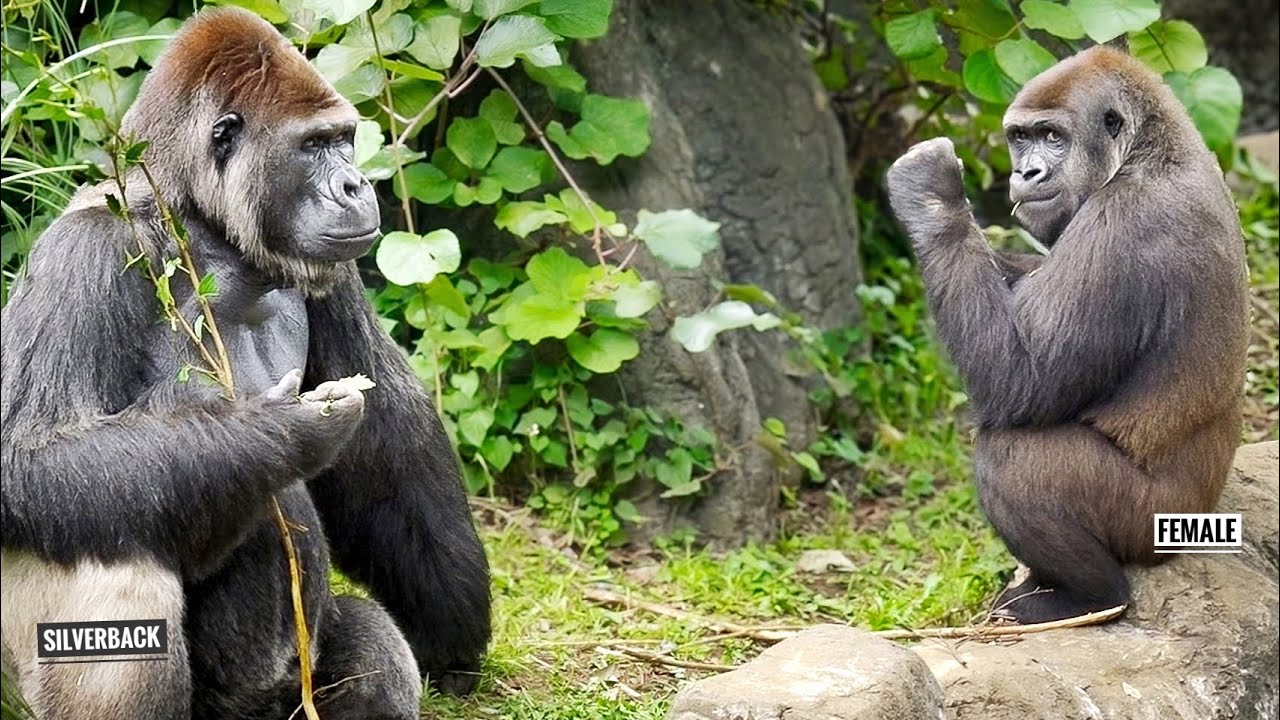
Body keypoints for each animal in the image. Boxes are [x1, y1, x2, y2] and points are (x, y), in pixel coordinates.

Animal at [1, 9, 490, 718]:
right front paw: (279, 430)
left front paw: (453, 632)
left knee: (374, 649)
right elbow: (29, 457)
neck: (197, 221)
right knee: (106, 552)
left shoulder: (331, 269)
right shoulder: (86, 249)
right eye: (314, 146)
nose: (356, 184)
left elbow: (390, 442)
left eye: (344, 140)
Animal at [885, 46, 1250, 623]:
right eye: (1020, 137)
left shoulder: (1122, 224)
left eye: (1054, 136)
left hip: (1154, 525)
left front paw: (929, 195)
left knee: (1012, 456)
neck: (1150, 146)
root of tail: (1205, 514)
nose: (1026, 171)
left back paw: (1091, 598)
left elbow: (1021, 381)